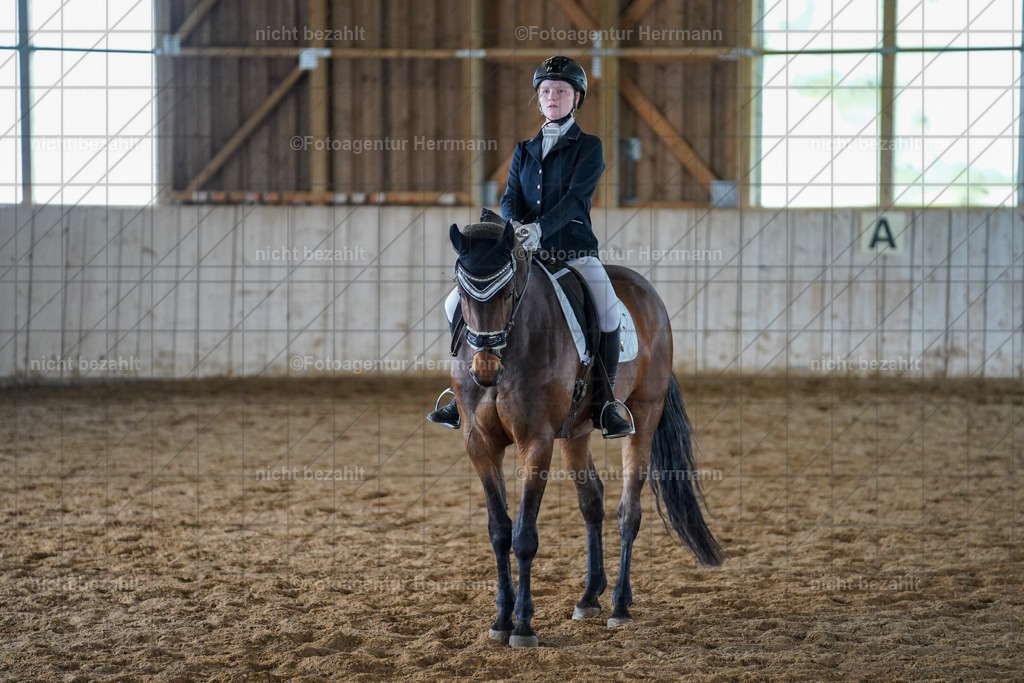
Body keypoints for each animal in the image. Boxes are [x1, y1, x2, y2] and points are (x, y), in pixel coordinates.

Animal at [443, 216, 724, 648]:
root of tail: (646, 290)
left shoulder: (536, 441)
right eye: (461, 292)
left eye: (507, 292)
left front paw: (523, 626)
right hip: (575, 432)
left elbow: (524, 536)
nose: (485, 370)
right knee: (592, 500)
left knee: (628, 512)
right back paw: (590, 596)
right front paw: (502, 620)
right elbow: (499, 531)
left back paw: (620, 606)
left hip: (644, 413)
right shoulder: (479, 442)